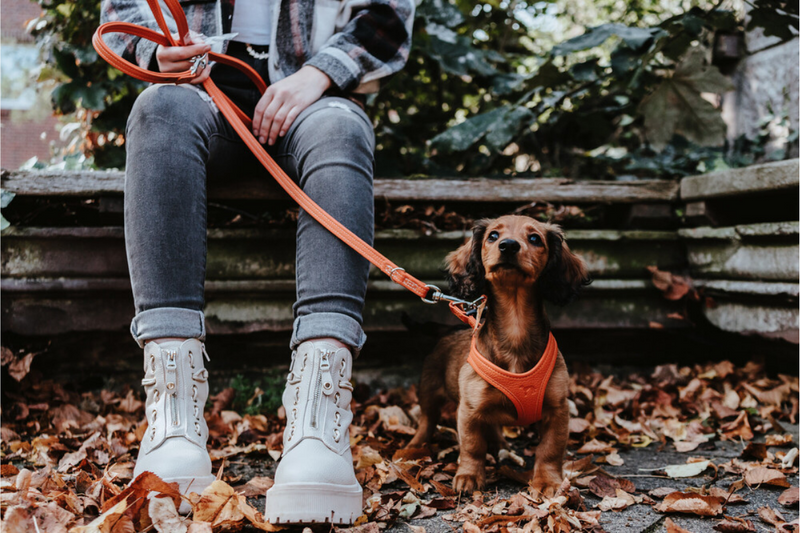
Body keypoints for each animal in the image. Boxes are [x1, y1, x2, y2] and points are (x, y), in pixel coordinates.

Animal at [410, 215, 592, 494]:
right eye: (493, 236)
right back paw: (415, 446)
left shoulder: (557, 409)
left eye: (535, 238)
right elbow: (472, 446)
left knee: (492, 425)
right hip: (429, 390)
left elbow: (550, 449)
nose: (508, 246)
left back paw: (500, 446)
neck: (515, 326)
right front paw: (469, 476)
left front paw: (548, 481)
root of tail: (449, 329)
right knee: (427, 420)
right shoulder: (469, 410)